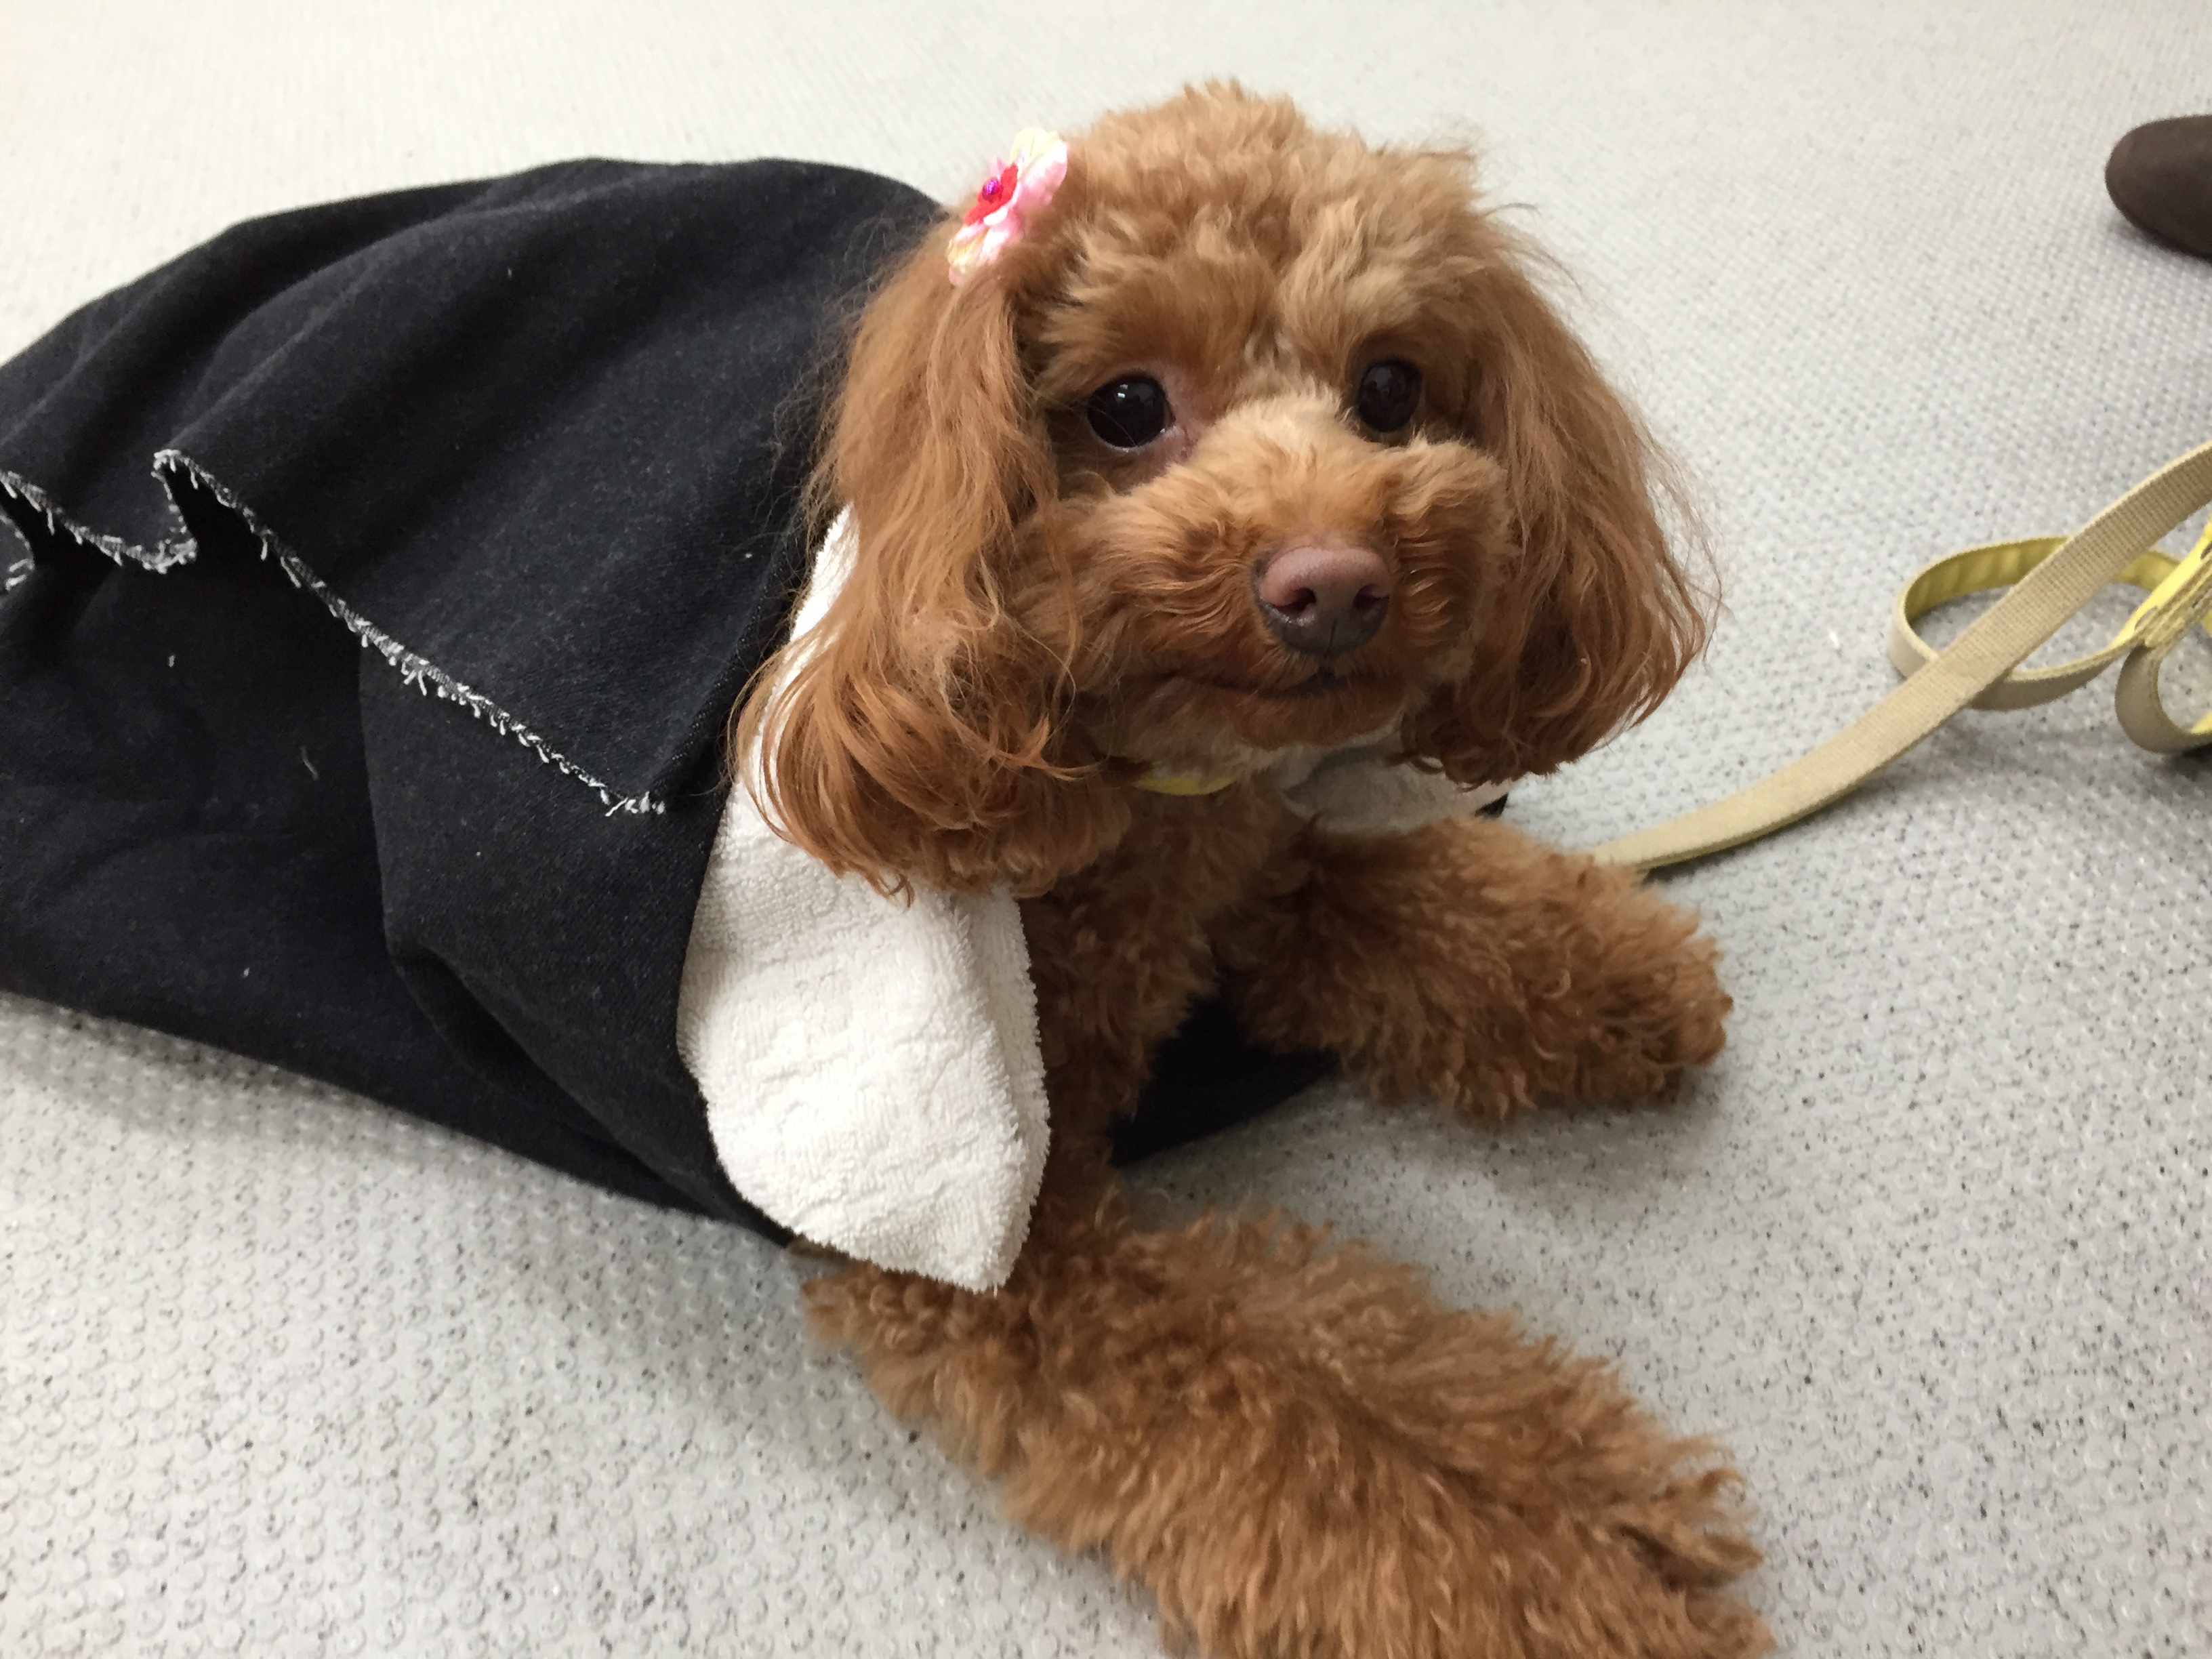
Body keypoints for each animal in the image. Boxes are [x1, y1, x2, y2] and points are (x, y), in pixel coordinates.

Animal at [737, 85, 1764, 1659]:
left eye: (1391, 388)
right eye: (1124, 407)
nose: (1332, 581)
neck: (1160, 789)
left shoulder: (1254, 866)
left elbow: (1400, 890)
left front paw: (1616, 971)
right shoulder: (998, 1234)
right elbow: (1295, 1398)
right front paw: (1582, 1566)